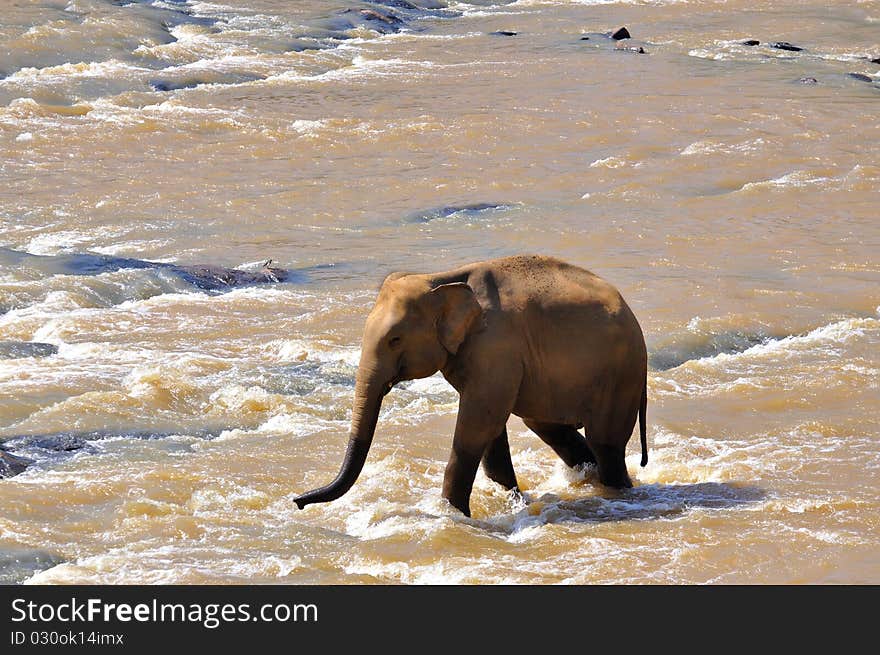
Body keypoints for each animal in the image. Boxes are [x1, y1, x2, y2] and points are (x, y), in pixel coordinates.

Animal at [300, 256, 648, 516]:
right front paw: (512, 500)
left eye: (395, 339)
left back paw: (618, 491)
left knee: (605, 443)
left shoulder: (496, 346)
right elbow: (490, 429)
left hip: (620, 376)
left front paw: (453, 515)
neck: (439, 278)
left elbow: (477, 424)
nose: (298, 501)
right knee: (546, 426)